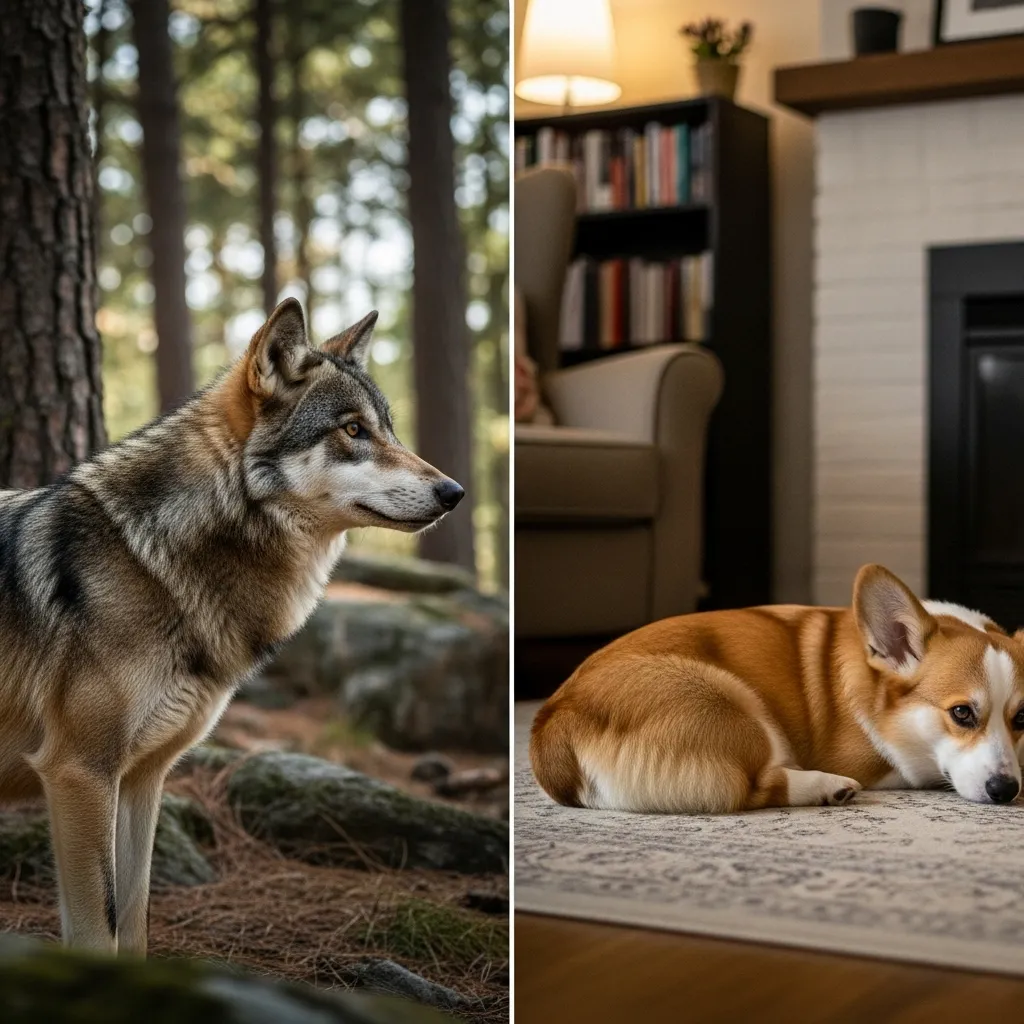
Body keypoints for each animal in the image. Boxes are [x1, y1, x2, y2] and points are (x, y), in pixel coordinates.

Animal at [0, 298, 464, 954]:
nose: (455, 491)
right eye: (352, 430)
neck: (153, 559)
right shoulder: (78, 773)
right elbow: (99, 930)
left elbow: (134, 921)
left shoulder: (142, 779)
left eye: (389, 429)